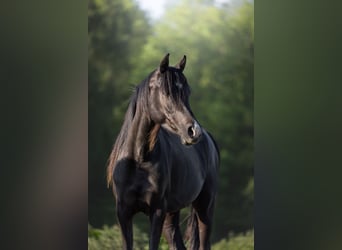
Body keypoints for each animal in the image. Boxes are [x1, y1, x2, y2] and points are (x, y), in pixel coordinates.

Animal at [107, 53, 219, 249]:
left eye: (187, 92)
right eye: (167, 92)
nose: (194, 131)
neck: (139, 160)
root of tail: (209, 138)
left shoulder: (157, 212)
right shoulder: (124, 213)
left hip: (205, 207)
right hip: (171, 215)